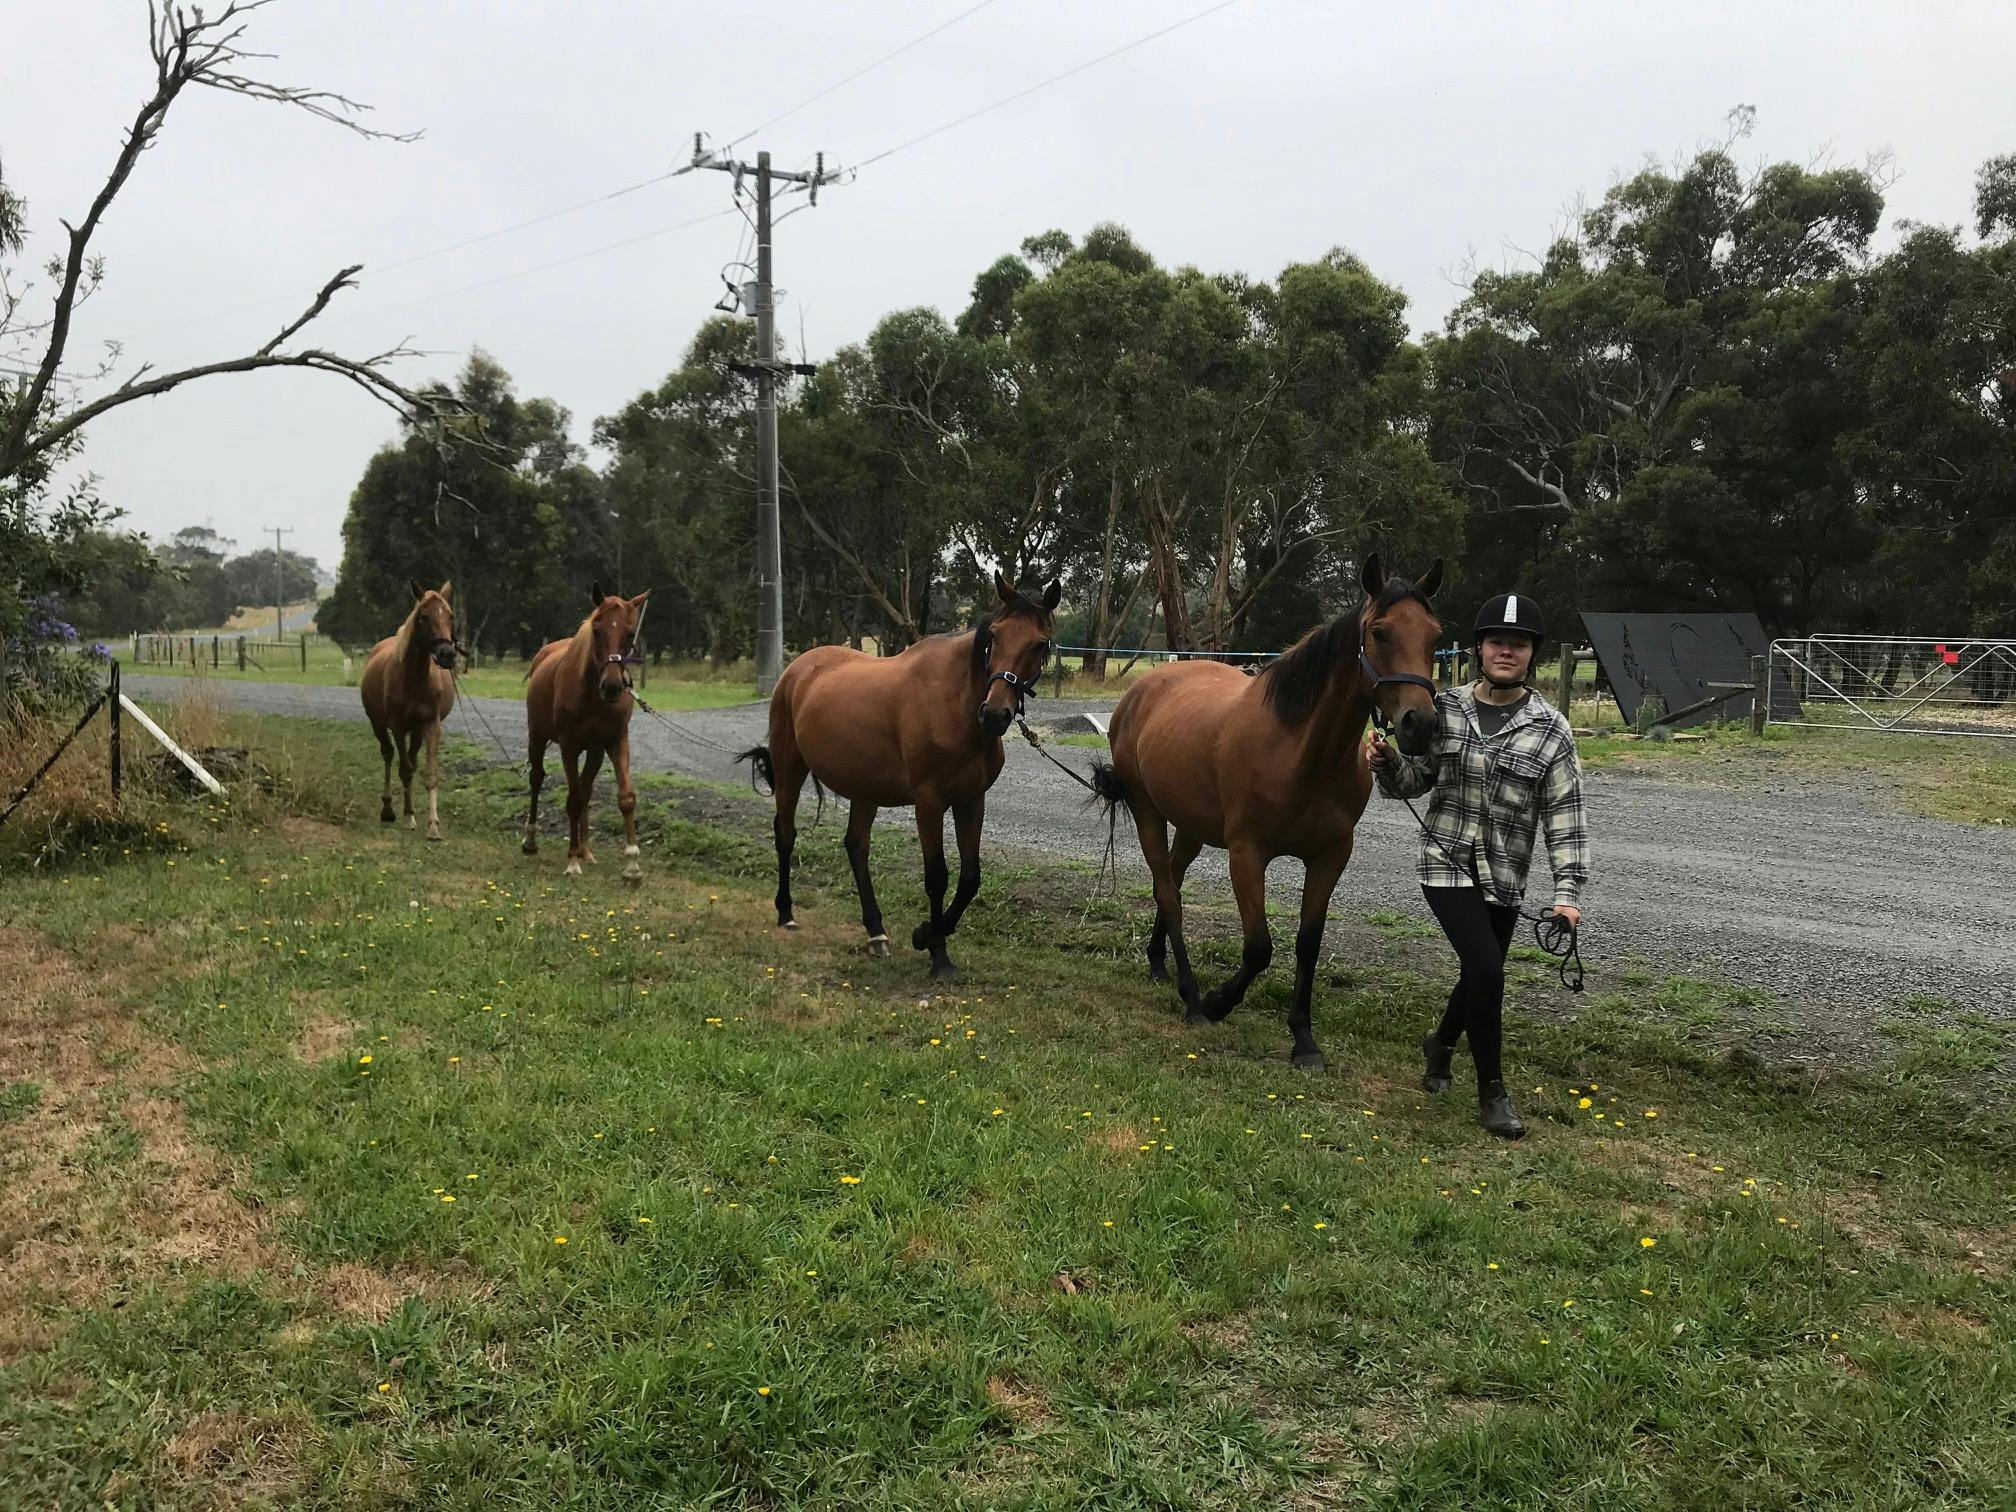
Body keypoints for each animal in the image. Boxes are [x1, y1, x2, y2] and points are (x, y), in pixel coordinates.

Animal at [360, 580, 458, 840]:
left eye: (450, 616)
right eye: (423, 616)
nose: (447, 654)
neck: (415, 678)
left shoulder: (431, 725)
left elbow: (429, 774)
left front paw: (433, 825)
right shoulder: (397, 725)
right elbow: (404, 770)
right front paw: (407, 818)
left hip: (416, 730)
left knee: (412, 760)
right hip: (379, 725)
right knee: (389, 754)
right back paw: (389, 810)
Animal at [522, 584, 651, 883]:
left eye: (630, 633)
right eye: (596, 630)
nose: (613, 686)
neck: (592, 696)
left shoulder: (615, 742)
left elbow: (625, 798)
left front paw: (632, 865)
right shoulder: (568, 745)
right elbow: (573, 799)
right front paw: (571, 862)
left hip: (594, 752)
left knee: (586, 788)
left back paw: (587, 851)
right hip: (537, 736)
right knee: (537, 779)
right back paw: (532, 840)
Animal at [740, 575, 1060, 979]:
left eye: (1040, 643)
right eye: (995, 637)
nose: (994, 714)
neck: (953, 704)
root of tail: (796, 669)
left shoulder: (971, 801)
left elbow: (970, 879)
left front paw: (927, 933)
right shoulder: (929, 801)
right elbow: (937, 876)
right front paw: (936, 951)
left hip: (864, 787)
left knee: (856, 846)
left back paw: (876, 931)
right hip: (789, 769)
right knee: (786, 834)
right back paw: (786, 912)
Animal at [1091, 554, 1444, 1069]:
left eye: (1436, 635)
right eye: (1380, 632)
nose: (1422, 724)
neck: (1301, 753)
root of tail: (1144, 689)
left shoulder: (1331, 856)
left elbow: (1308, 945)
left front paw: (1304, 1039)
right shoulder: (1247, 854)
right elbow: (1258, 948)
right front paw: (1218, 1003)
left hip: (1193, 828)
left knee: (1169, 882)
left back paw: (1158, 963)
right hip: (1148, 813)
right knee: (1168, 894)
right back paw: (1191, 996)